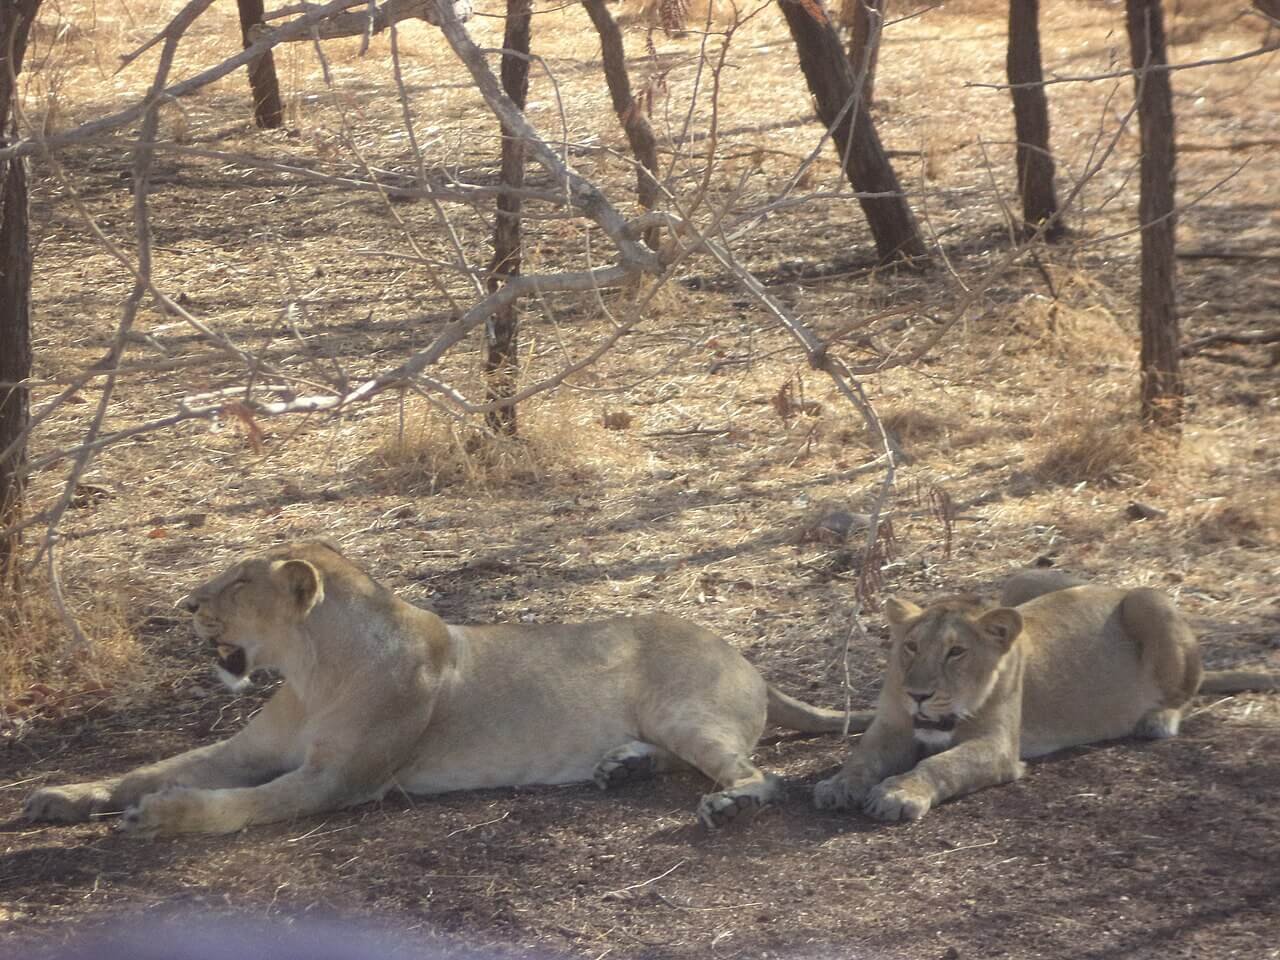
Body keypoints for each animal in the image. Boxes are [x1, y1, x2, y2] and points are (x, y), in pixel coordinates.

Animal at [24, 540, 872, 835]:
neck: (312, 672)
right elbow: (148, 767)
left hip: (685, 708)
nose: (185, 604)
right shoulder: (243, 750)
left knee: (758, 775)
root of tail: (746, 654)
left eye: (237, 581)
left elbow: (244, 804)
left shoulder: (343, 781)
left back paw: (727, 804)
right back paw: (619, 767)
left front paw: (161, 817)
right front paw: (61, 795)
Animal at [813, 569, 1279, 821]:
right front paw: (839, 785)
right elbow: (863, 758)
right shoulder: (893, 725)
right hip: (1021, 582)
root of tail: (1112, 587)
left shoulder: (998, 747)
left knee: (1187, 689)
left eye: (956, 652)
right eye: (910, 646)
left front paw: (898, 793)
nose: (918, 695)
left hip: (1148, 600)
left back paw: (1158, 719)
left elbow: (941, 764)